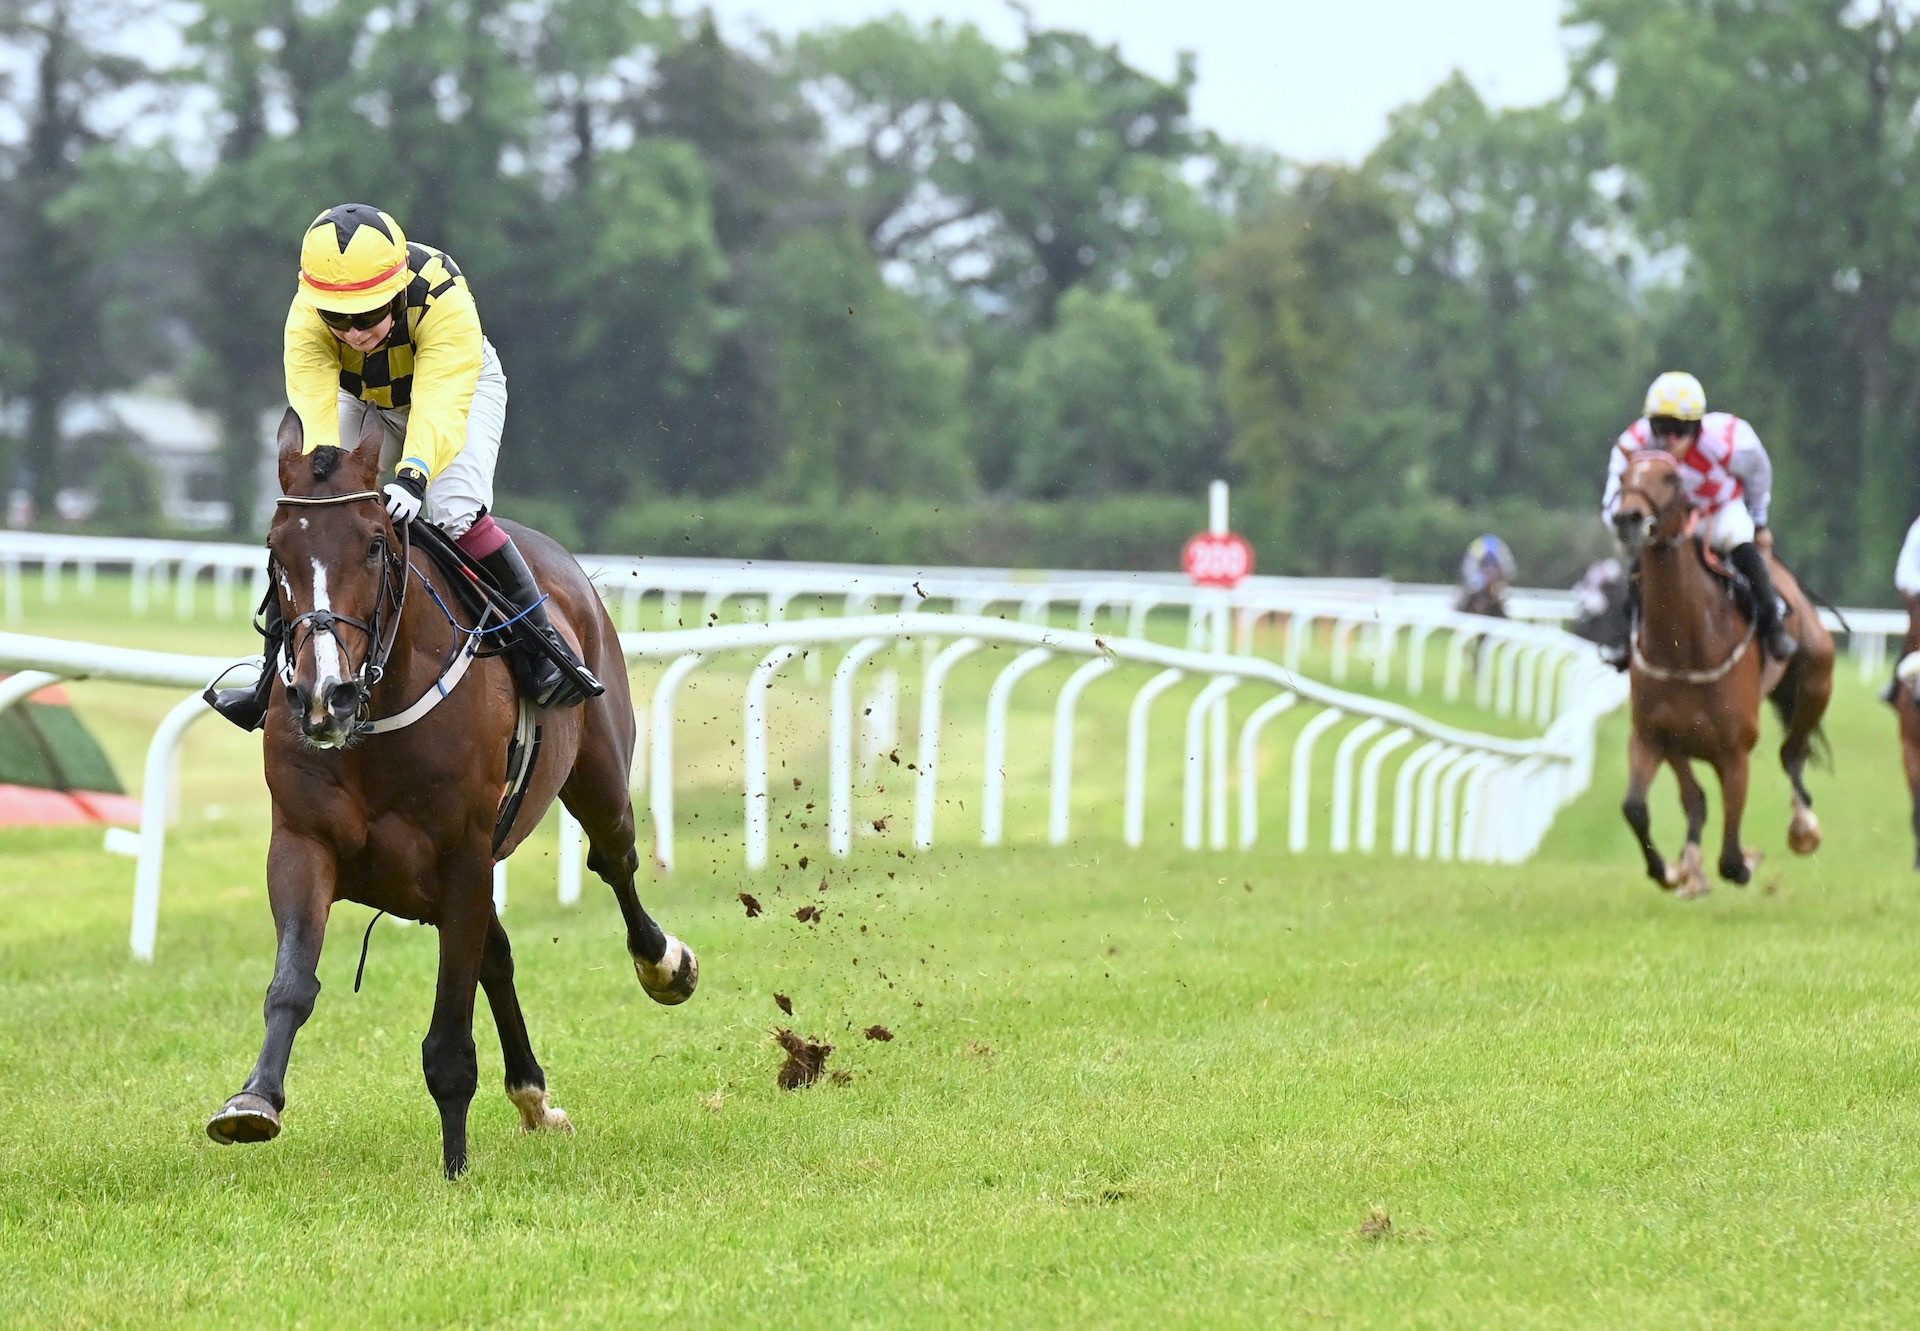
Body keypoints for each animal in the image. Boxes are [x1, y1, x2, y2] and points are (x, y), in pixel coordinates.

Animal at [206, 411, 702, 1175]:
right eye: (275, 549)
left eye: (374, 544)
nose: (324, 695)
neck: (375, 715)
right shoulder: (302, 842)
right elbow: (291, 985)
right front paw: (254, 1100)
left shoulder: (464, 853)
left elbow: (448, 1032)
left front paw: (455, 1167)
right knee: (495, 952)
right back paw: (533, 1097)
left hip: (598, 776)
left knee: (614, 861)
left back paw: (664, 964)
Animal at [1605, 451, 1827, 898]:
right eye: (1623, 477)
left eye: (1671, 478)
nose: (1628, 518)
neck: (1684, 648)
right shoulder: (1655, 736)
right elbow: (1641, 807)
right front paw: (1672, 870)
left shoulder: (1734, 751)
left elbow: (1730, 855)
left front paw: (1744, 863)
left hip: (1817, 676)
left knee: (1792, 752)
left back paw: (1803, 826)